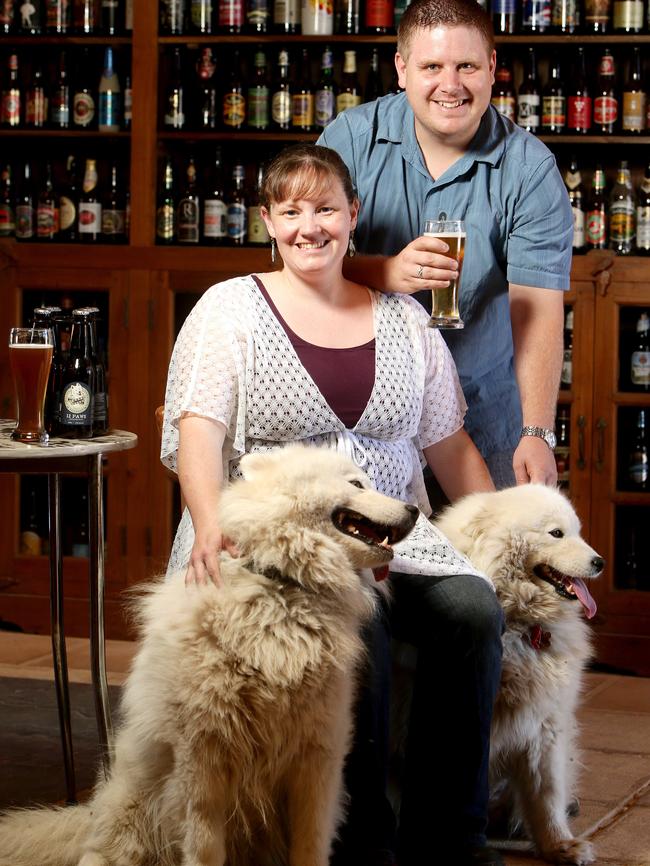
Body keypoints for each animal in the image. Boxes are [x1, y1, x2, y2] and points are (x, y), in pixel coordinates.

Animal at [0, 446, 416, 864]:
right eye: (357, 483)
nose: (414, 509)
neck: (284, 592)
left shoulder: (317, 760)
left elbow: (310, 846)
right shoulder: (203, 759)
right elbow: (203, 848)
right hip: (133, 807)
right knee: (101, 852)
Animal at [436, 482, 604, 860]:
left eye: (578, 532)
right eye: (556, 533)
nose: (600, 562)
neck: (523, 622)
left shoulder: (545, 726)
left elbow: (547, 794)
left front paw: (559, 845)